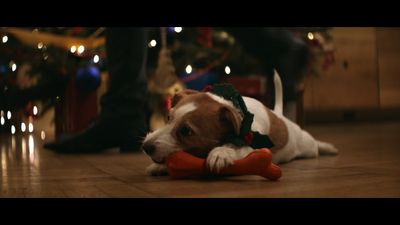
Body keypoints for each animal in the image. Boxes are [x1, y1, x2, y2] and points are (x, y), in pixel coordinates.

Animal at [142, 70, 336, 176]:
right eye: (168, 117)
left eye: (186, 131)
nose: (145, 146)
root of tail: (280, 116)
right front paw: (159, 166)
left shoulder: (253, 144)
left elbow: (234, 146)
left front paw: (221, 152)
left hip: (308, 146)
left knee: (315, 145)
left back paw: (328, 147)